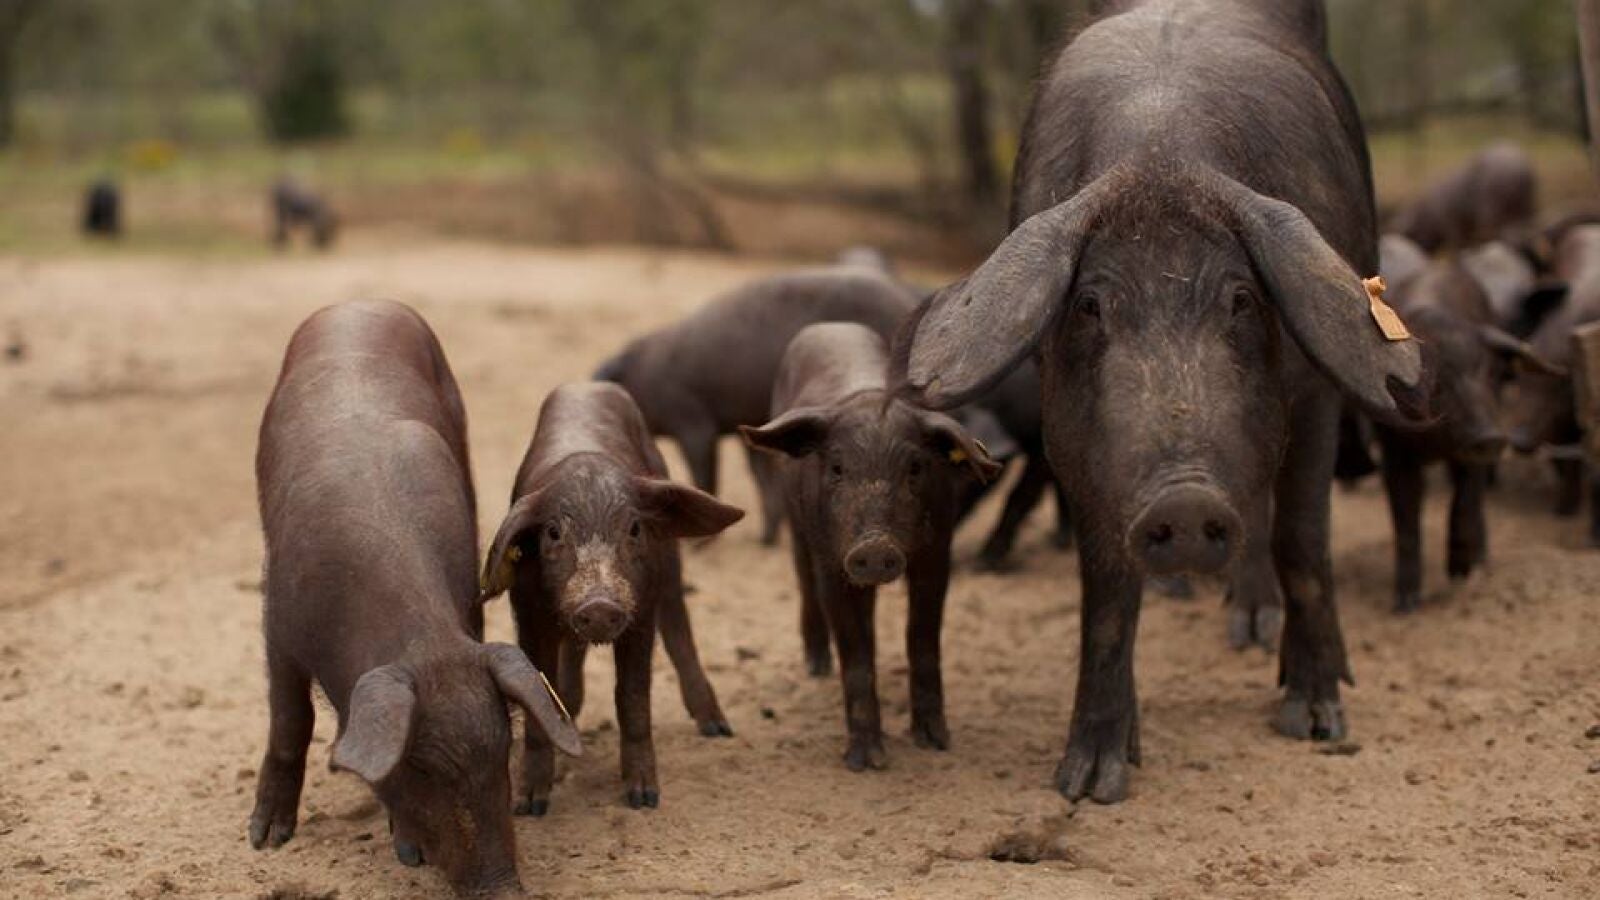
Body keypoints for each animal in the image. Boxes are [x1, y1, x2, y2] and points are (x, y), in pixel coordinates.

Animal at [252, 300, 581, 897]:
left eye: (502, 753)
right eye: (421, 766)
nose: (506, 889)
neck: (423, 640)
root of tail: (361, 301)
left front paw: (406, 851)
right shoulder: (279, 627)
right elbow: (289, 721)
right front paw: (266, 840)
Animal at [480, 382, 743, 811]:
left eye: (633, 528)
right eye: (553, 532)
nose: (599, 604)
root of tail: (586, 384)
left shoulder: (640, 613)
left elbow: (633, 696)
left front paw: (644, 799)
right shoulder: (528, 613)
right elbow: (541, 692)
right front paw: (530, 806)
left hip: (669, 568)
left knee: (679, 627)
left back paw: (716, 728)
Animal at [742, 323, 999, 770]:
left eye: (915, 467)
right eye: (837, 468)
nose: (875, 546)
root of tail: (830, 325)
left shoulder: (938, 551)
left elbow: (922, 637)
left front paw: (935, 743)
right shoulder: (834, 561)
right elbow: (853, 649)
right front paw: (865, 763)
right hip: (798, 526)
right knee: (804, 582)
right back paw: (817, 667)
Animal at [895, 0, 1428, 802]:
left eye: (1241, 298)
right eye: (1090, 304)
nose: (1184, 499)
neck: (1161, 154)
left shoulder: (1316, 393)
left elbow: (1304, 538)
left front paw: (1316, 722)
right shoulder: (1072, 427)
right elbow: (1106, 585)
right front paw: (1089, 782)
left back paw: (1256, 636)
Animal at [1390, 143, 1537, 254]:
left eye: (1411, 236)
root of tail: (1520, 168)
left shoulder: (1450, 222)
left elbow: (1456, 243)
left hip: (1492, 203)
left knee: (1495, 229)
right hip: (1528, 203)